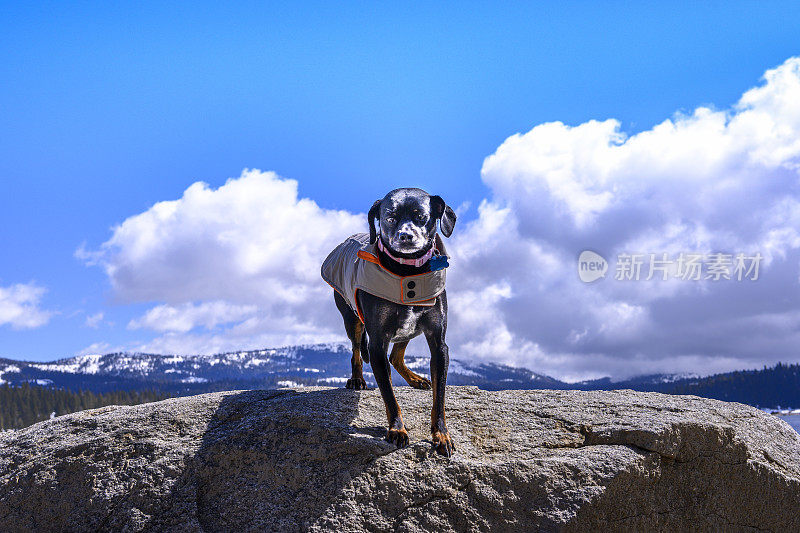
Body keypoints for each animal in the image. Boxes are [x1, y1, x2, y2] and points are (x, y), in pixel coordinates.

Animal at [330, 189, 456, 456]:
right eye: (389, 218)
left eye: (421, 216)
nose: (405, 235)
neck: (408, 272)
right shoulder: (377, 342)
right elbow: (389, 396)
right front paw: (397, 429)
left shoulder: (439, 344)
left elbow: (439, 398)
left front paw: (441, 435)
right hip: (352, 319)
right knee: (356, 351)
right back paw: (357, 379)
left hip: (410, 327)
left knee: (396, 356)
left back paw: (415, 379)